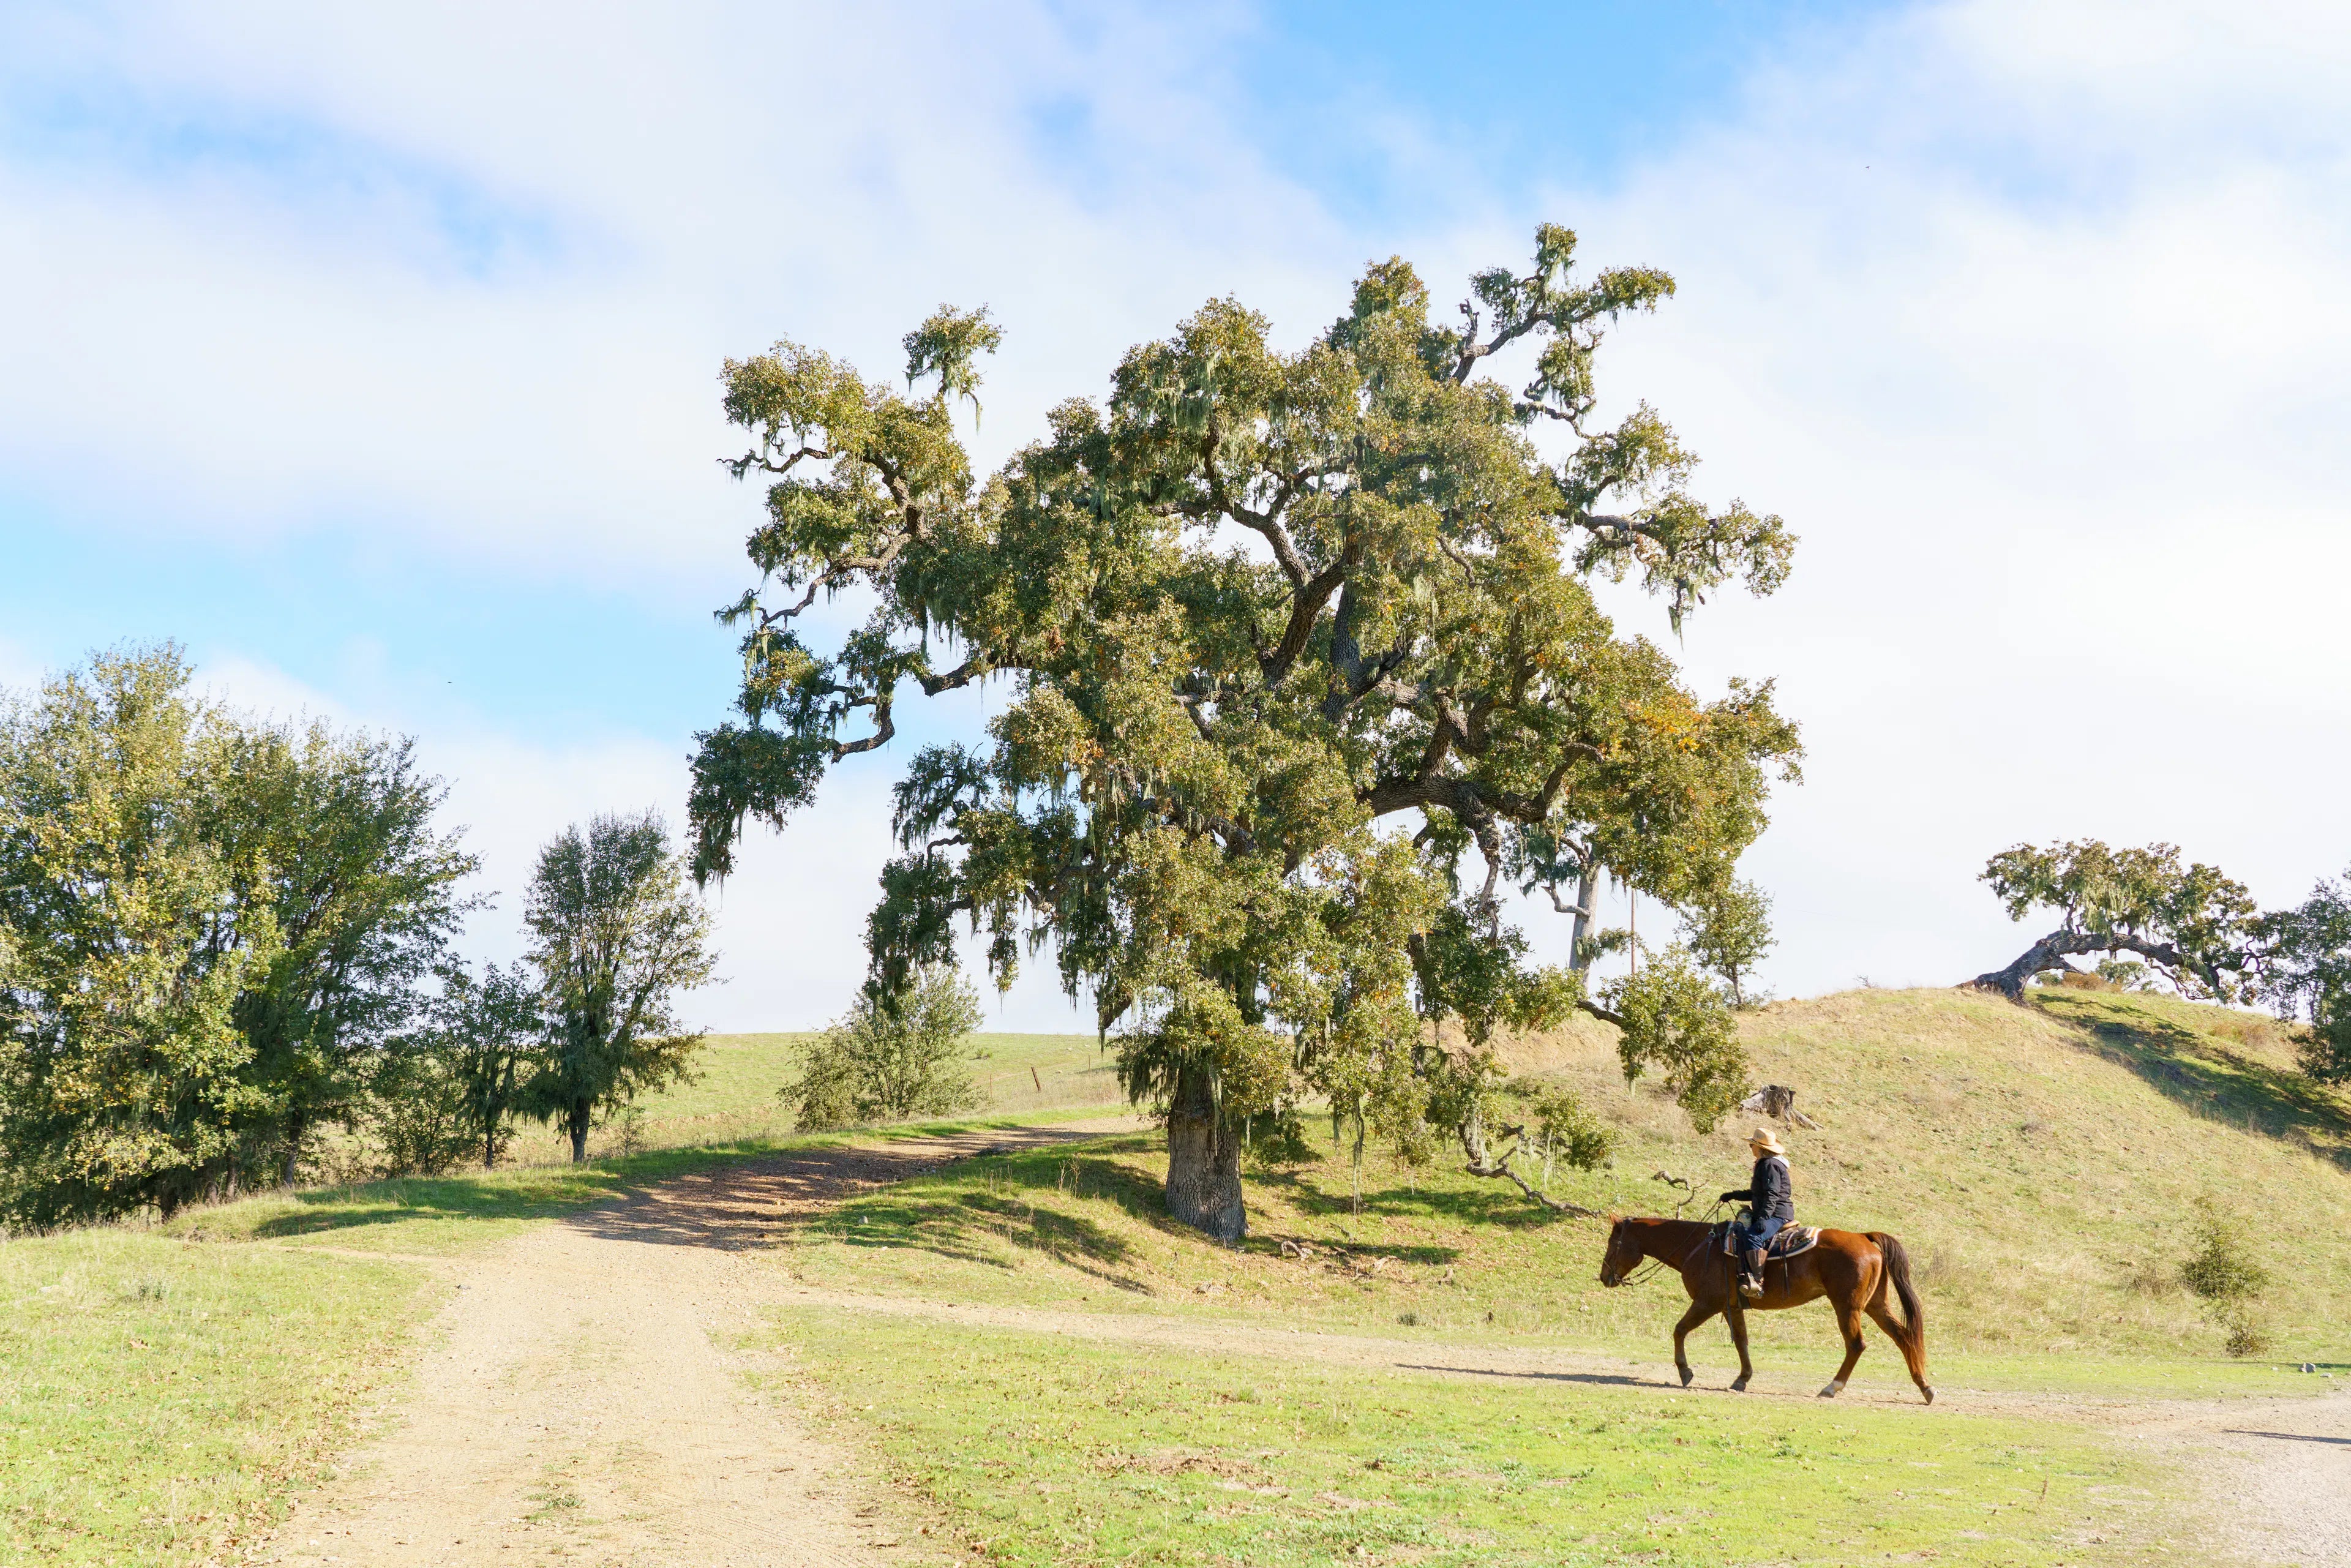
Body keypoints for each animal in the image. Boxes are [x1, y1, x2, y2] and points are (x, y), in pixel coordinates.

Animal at [1608, 1222, 1937, 1401]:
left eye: (1614, 1244)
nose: (1604, 1276)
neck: (1700, 1246)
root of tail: (1864, 1237)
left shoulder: (1707, 1303)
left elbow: (1679, 1330)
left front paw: (1685, 1372)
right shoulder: (1731, 1307)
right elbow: (1742, 1341)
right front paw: (1742, 1379)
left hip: (1848, 1306)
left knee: (1857, 1344)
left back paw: (1832, 1387)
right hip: (1875, 1305)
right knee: (1904, 1336)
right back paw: (1925, 1387)